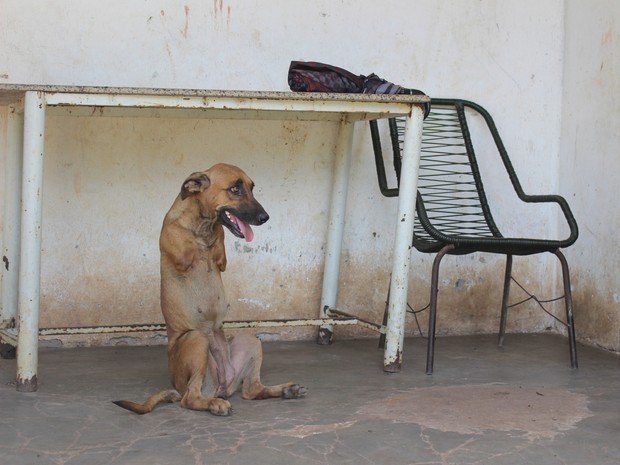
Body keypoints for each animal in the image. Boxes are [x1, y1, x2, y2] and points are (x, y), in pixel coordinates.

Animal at [114, 162, 308, 414]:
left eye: (252, 188)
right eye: (235, 189)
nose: (264, 217)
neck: (203, 221)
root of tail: (220, 385)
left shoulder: (221, 257)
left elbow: (219, 236)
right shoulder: (181, 254)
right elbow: (190, 241)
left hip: (250, 341)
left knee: (252, 391)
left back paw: (286, 390)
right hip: (197, 340)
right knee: (190, 399)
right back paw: (214, 403)